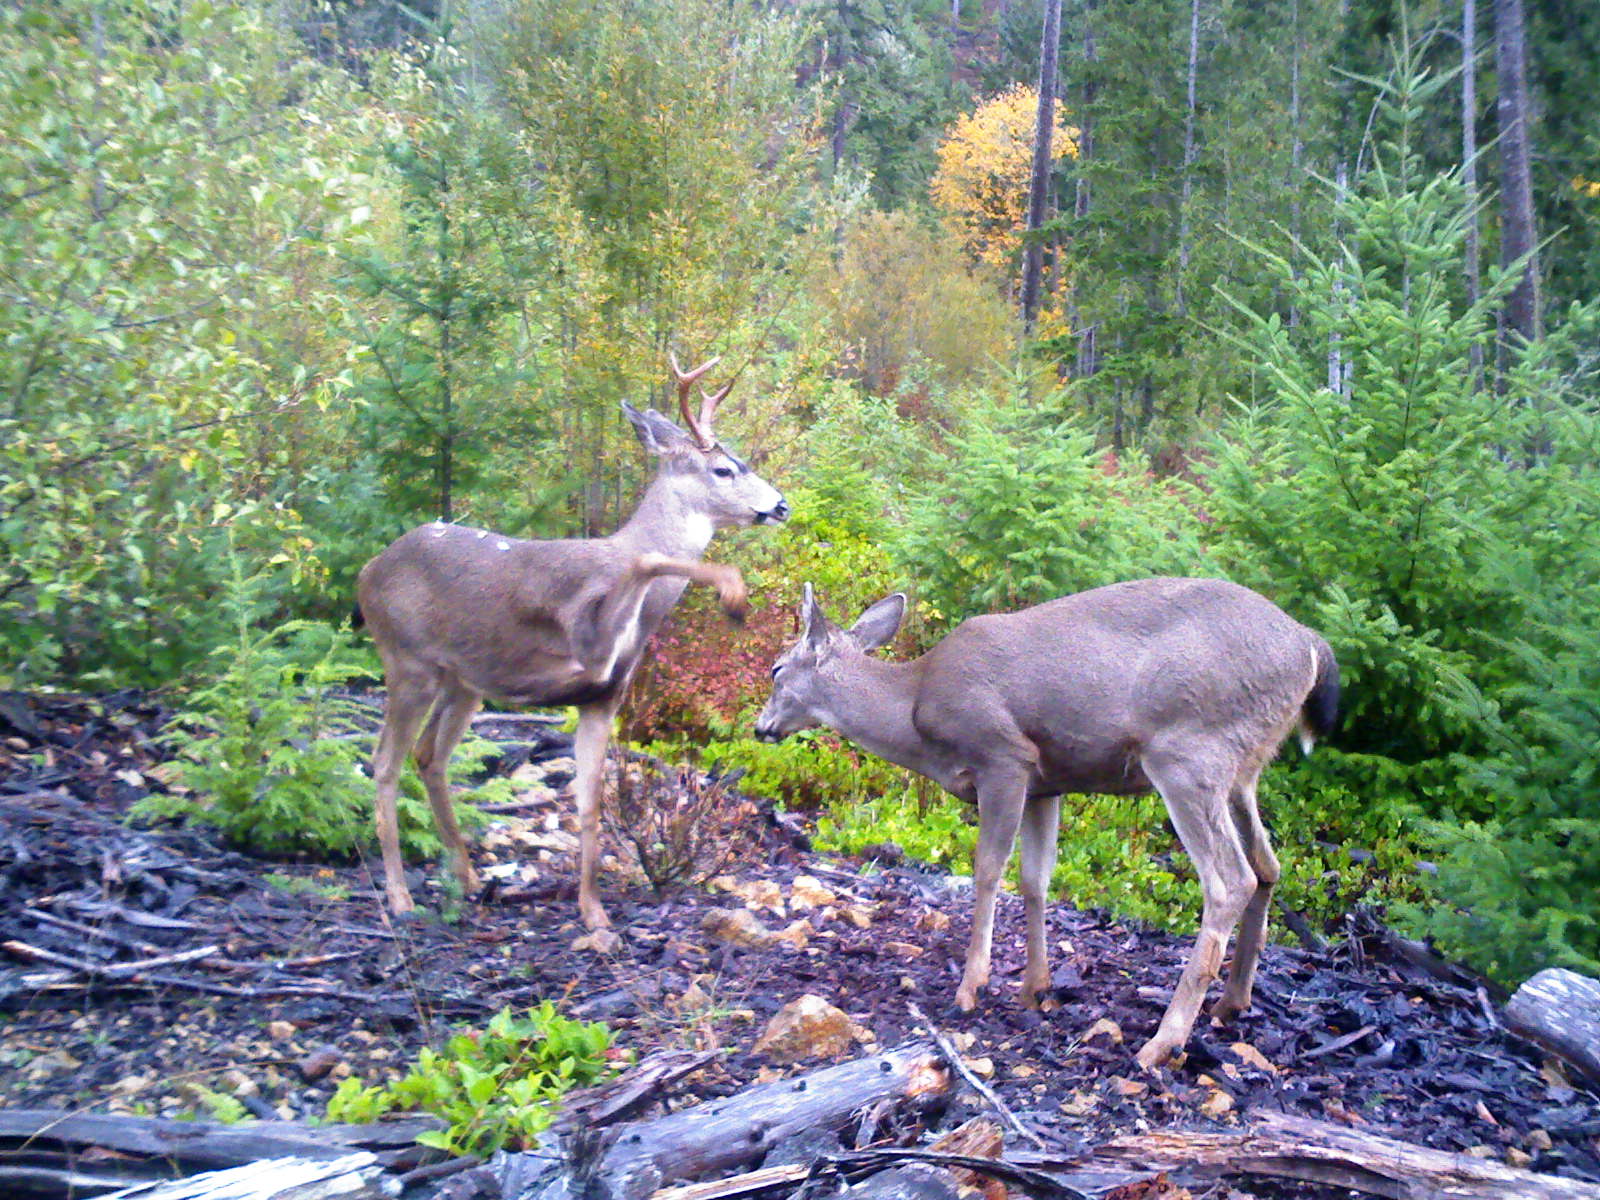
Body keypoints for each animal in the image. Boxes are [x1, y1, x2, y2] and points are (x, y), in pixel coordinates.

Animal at [357, 355, 788, 928]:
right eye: (724, 469)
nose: (781, 505)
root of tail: (368, 572)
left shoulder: (603, 698)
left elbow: (589, 806)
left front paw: (594, 913)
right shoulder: (586, 642)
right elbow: (647, 562)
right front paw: (733, 590)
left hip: (464, 682)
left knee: (429, 756)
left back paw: (467, 876)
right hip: (407, 661)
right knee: (384, 762)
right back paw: (400, 897)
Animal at [754, 577, 1339, 1068]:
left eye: (777, 670)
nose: (761, 727)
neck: (914, 709)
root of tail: (1312, 644)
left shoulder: (1003, 757)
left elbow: (989, 870)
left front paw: (972, 986)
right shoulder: (1046, 783)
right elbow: (1036, 879)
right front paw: (1035, 987)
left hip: (1190, 751)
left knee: (1230, 879)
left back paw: (1163, 1041)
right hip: (1243, 768)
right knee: (1268, 864)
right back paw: (1232, 1003)